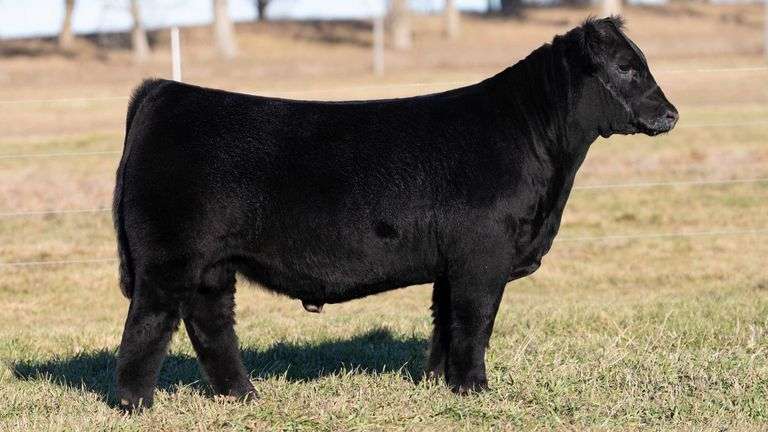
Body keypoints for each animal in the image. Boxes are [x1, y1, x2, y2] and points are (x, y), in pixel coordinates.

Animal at [113, 16, 677, 411]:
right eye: (626, 67)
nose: (670, 113)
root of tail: (166, 90)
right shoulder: (482, 257)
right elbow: (475, 321)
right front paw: (476, 389)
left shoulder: (452, 263)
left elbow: (445, 323)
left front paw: (440, 385)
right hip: (168, 260)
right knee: (148, 324)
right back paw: (137, 405)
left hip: (212, 267)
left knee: (210, 325)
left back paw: (244, 396)